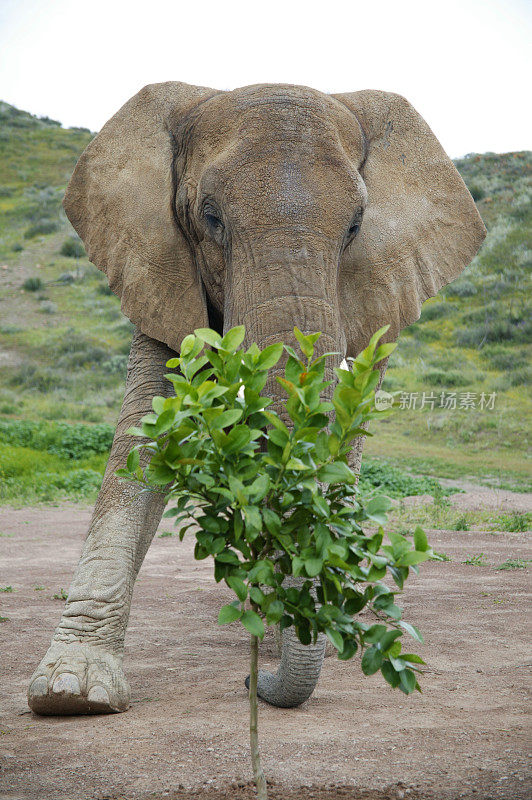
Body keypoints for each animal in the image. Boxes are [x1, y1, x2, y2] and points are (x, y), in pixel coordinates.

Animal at [28, 83, 486, 720]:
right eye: (210, 217)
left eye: (356, 225)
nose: (254, 684)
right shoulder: (155, 262)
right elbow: (142, 441)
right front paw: (71, 694)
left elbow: (346, 437)